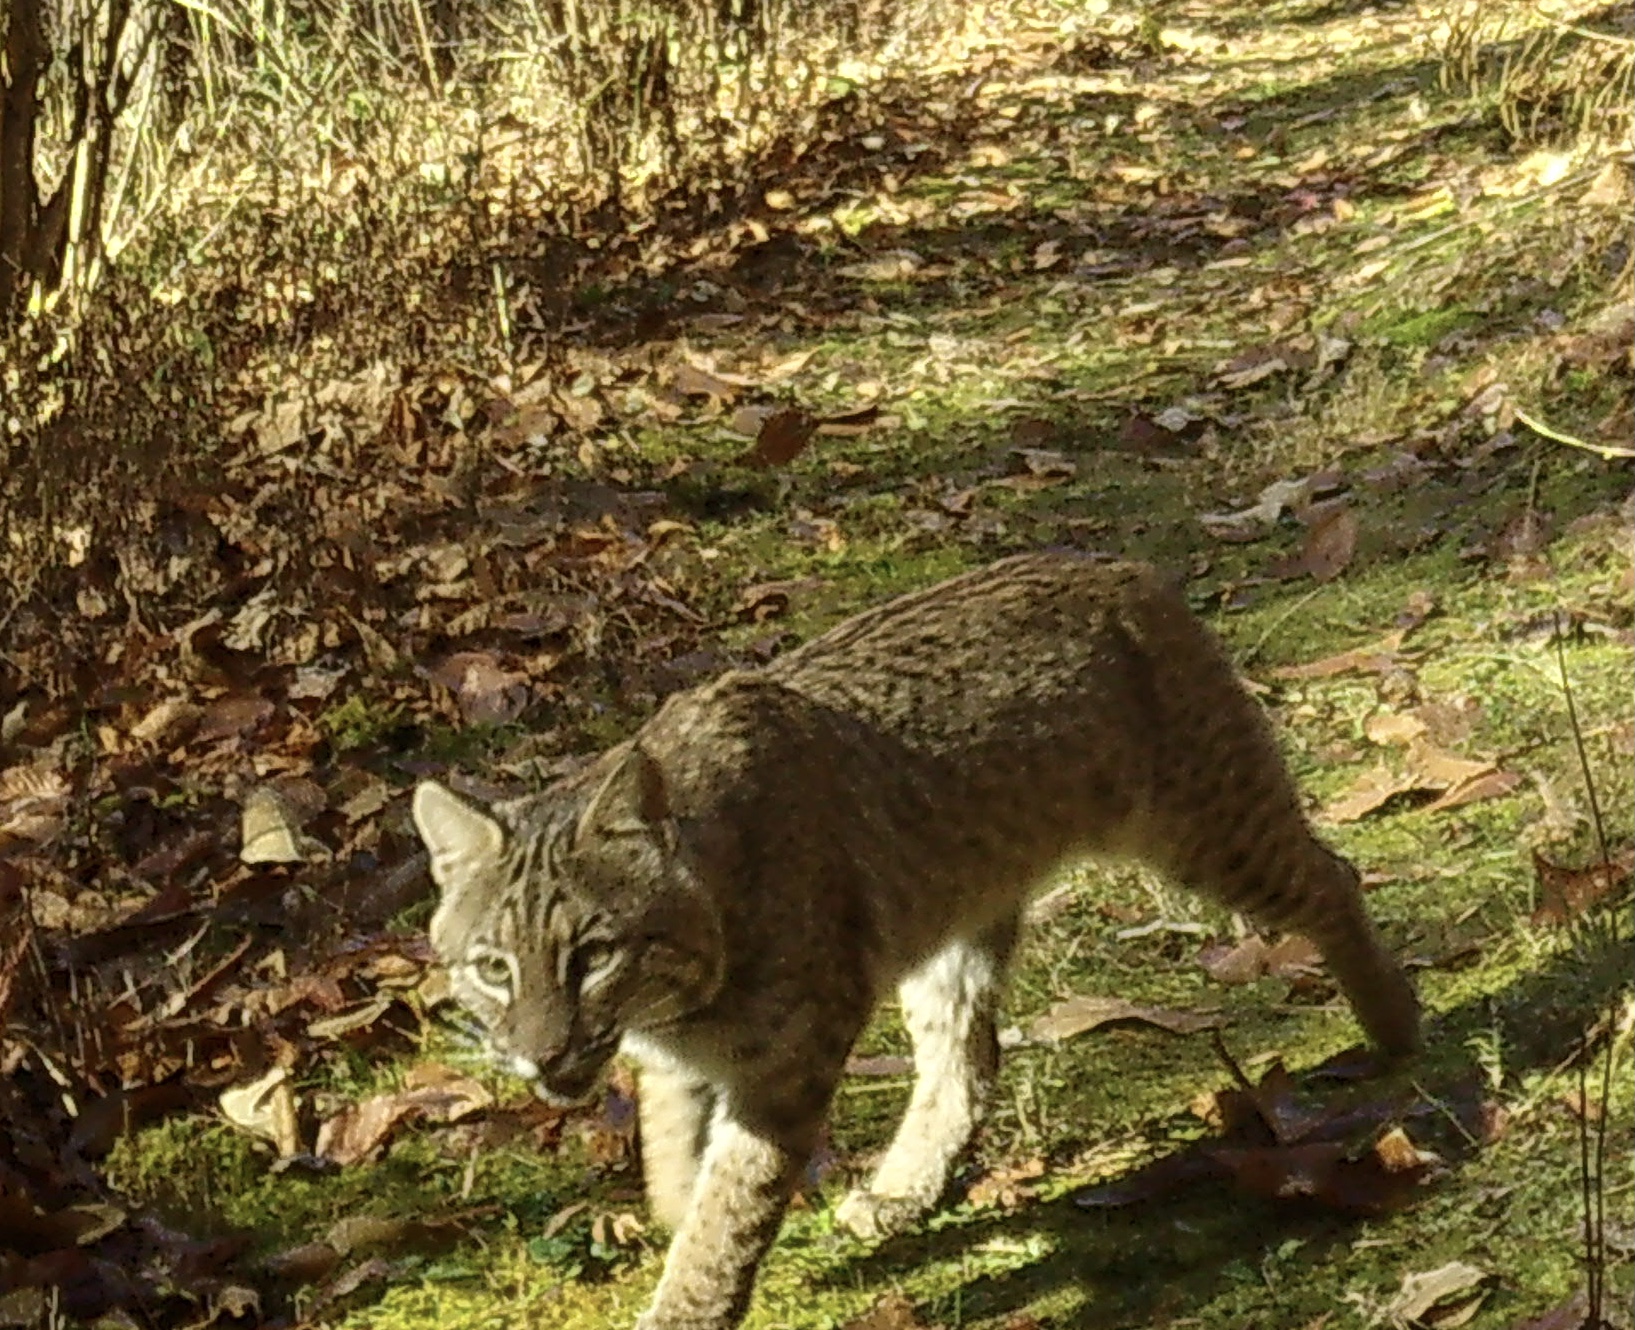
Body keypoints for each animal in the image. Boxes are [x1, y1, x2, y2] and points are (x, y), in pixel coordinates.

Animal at [412, 552, 1422, 1330]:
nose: (539, 1059)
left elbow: (728, 1212)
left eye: (592, 956)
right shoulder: (685, 1055)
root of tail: (1112, 566)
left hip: (1204, 827)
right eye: (493, 969)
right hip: (956, 915)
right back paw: (904, 1188)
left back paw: (1394, 1027)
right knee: (969, 1056)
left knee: (1331, 875)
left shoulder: (788, 1061)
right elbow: (672, 1140)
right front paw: (668, 1195)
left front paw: (685, 1294)